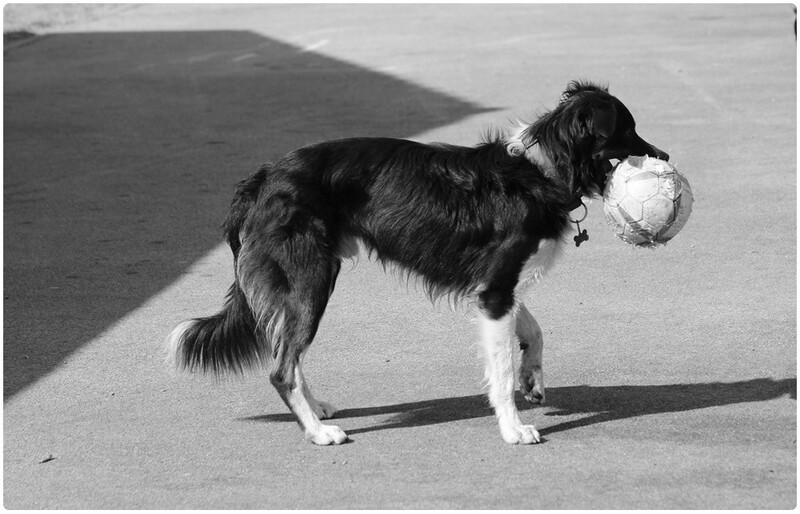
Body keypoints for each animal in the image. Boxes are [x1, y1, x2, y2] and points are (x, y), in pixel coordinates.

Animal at [167, 81, 668, 444]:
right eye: (626, 131)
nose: (663, 155)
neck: (543, 168)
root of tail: (263, 175)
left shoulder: (493, 288)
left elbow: (532, 330)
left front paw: (533, 377)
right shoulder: (495, 290)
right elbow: (501, 368)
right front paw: (513, 428)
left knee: (289, 353)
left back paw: (318, 409)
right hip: (309, 280)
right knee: (281, 366)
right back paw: (318, 432)